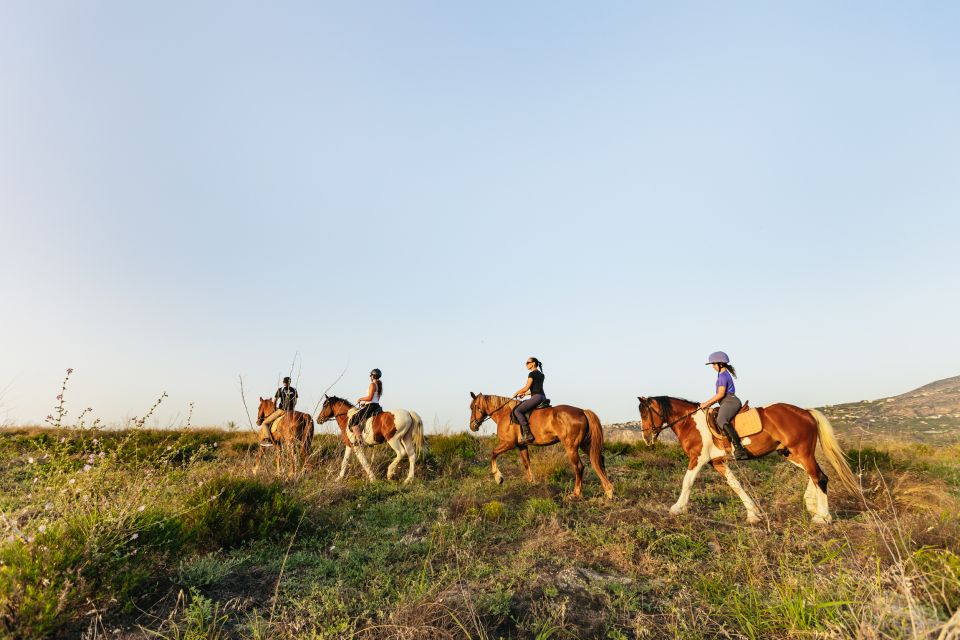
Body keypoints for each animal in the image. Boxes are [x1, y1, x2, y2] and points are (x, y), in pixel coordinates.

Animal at [466, 390, 616, 500]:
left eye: (473, 407)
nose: (473, 426)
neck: (504, 414)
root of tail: (582, 411)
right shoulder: (521, 445)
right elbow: (526, 463)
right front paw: (531, 482)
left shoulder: (508, 443)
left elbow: (493, 453)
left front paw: (498, 478)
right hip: (586, 445)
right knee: (599, 461)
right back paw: (608, 491)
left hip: (571, 447)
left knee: (579, 467)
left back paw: (576, 493)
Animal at [640, 396, 860, 524]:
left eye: (644, 413)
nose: (646, 438)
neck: (690, 422)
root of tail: (806, 412)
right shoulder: (718, 462)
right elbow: (736, 485)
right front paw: (753, 514)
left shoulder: (698, 458)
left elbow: (687, 482)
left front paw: (677, 508)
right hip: (791, 453)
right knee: (814, 475)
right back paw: (812, 506)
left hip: (802, 451)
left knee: (819, 477)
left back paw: (823, 517)